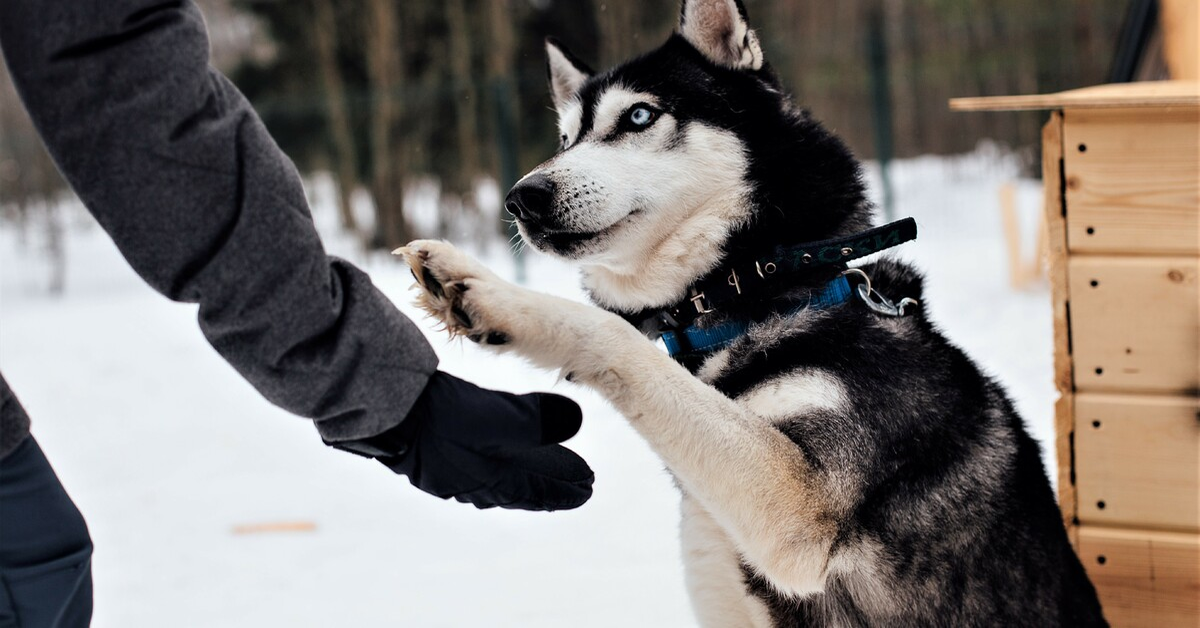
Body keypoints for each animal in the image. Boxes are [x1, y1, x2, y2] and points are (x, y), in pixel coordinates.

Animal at [400, 1, 1104, 624]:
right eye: (566, 139)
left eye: (638, 115)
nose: (522, 197)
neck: (752, 292)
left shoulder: (797, 509)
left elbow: (618, 341)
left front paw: (488, 292)